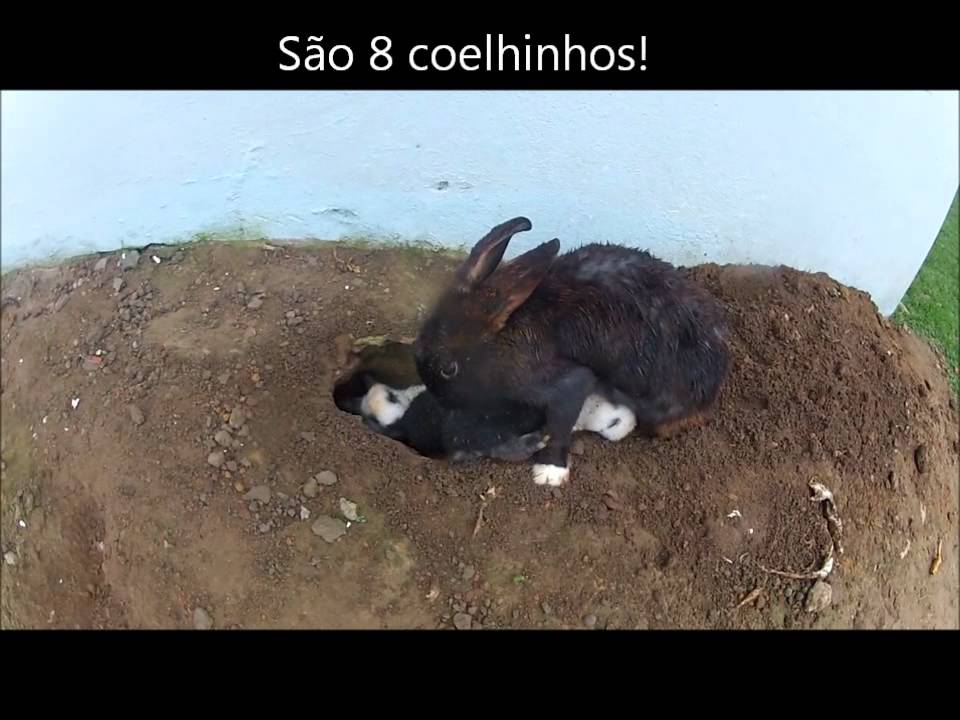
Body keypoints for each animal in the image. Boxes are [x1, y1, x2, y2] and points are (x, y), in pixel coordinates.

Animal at [413, 216, 730, 487]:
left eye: (448, 368)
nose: (439, 398)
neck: (498, 343)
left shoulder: (566, 382)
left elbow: (560, 424)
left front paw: (548, 473)